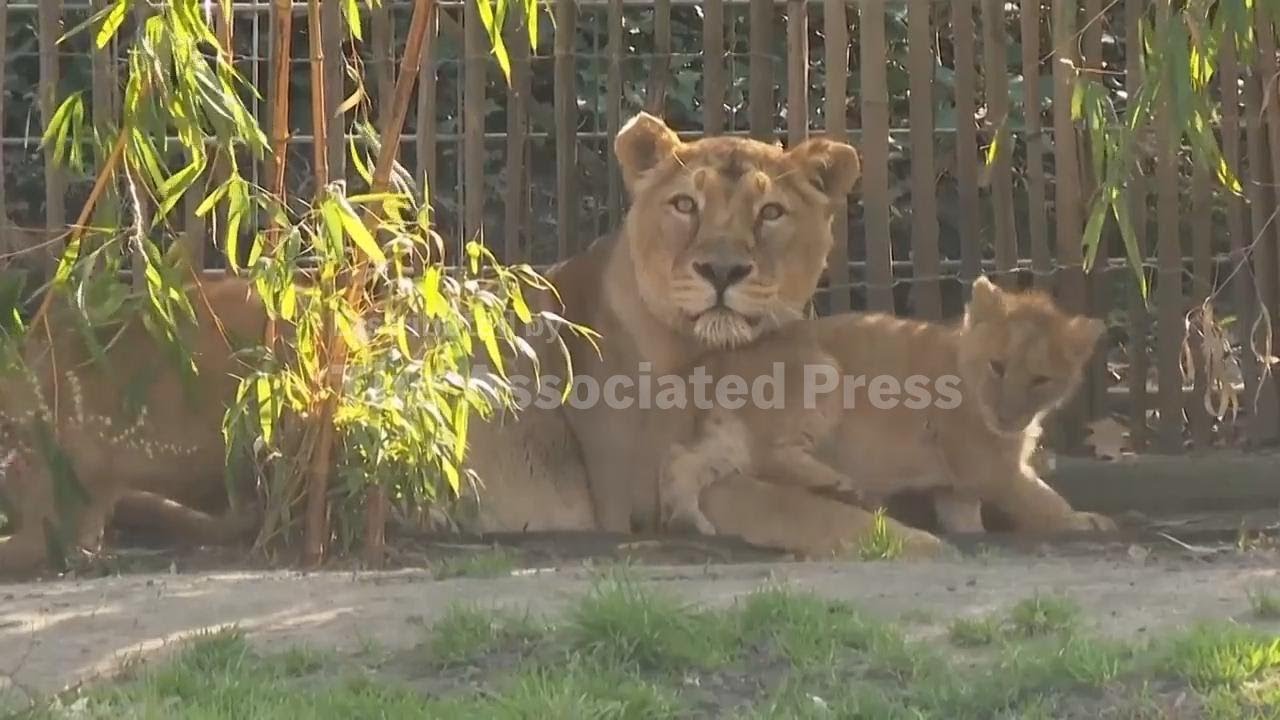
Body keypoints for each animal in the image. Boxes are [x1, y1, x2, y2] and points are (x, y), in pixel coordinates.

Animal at [657, 276, 1117, 539]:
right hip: (821, 370)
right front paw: (1086, 523)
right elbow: (1043, 501)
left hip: (728, 436)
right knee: (767, 454)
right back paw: (839, 485)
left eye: (1041, 380)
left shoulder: (956, 490)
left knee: (691, 464)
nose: (1007, 417)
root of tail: (712, 361)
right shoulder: (989, 469)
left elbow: (968, 522)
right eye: (998, 366)